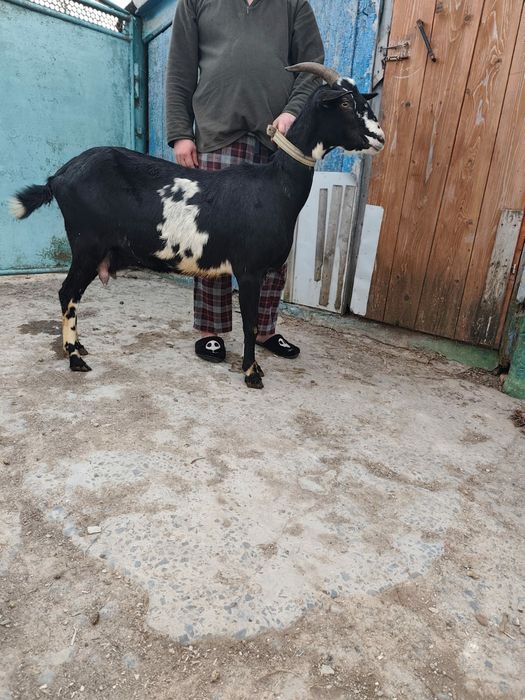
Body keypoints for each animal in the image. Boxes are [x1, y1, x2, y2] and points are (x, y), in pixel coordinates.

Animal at [9, 63, 384, 389]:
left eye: (362, 99)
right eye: (346, 102)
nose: (380, 138)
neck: (276, 184)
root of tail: (58, 177)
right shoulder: (249, 268)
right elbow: (250, 323)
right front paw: (252, 373)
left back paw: (78, 346)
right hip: (87, 243)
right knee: (66, 293)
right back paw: (75, 358)